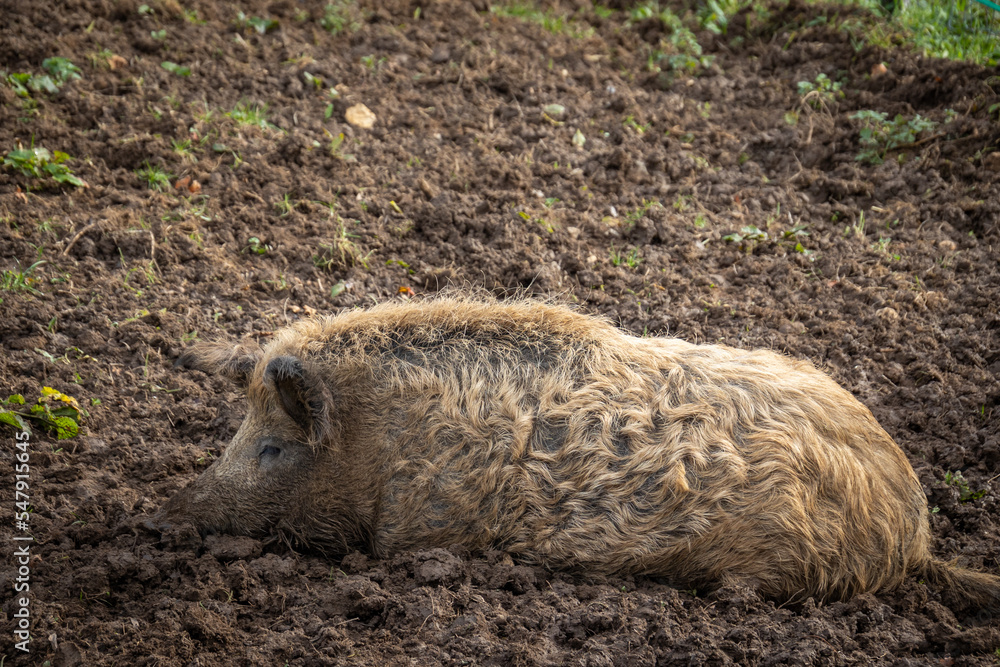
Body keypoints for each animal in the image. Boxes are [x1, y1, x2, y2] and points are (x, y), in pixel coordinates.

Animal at [158, 296, 1000, 610]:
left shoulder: (424, 528)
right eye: (236, 433)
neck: (381, 440)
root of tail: (914, 533)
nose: (173, 510)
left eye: (272, 446)